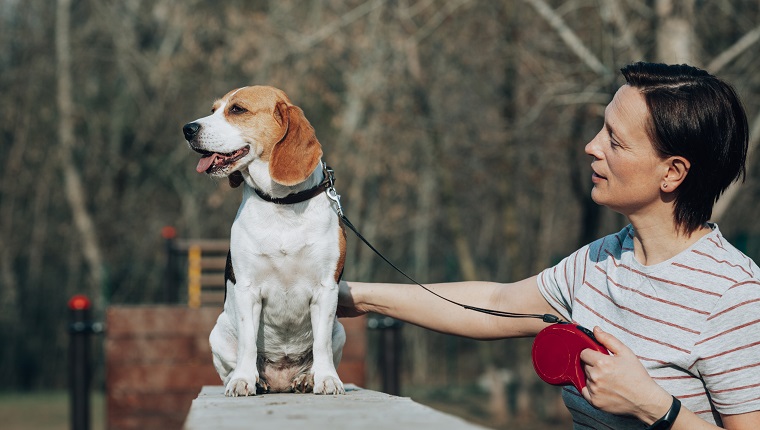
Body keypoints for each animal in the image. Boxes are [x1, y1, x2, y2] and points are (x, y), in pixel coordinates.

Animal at [181, 85, 348, 396]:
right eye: (213, 110)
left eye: (237, 110)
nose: (187, 129)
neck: (281, 204)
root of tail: (281, 379)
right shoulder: (247, 289)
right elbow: (247, 343)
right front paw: (243, 380)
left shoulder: (326, 289)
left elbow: (321, 345)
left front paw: (327, 379)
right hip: (217, 334)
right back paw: (252, 378)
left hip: (339, 330)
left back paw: (307, 378)